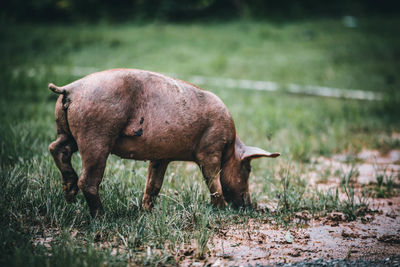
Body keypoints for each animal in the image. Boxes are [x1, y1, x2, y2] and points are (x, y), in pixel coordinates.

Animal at [48, 69, 280, 218]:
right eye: (248, 169)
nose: (249, 205)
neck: (230, 147)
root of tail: (70, 88)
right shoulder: (210, 150)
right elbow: (214, 181)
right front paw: (221, 208)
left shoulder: (161, 157)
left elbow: (154, 184)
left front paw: (148, 211)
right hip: (96, 136)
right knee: (87, 180)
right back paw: (101, 216)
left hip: (68, 131)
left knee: (56, 147)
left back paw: (69, 194)